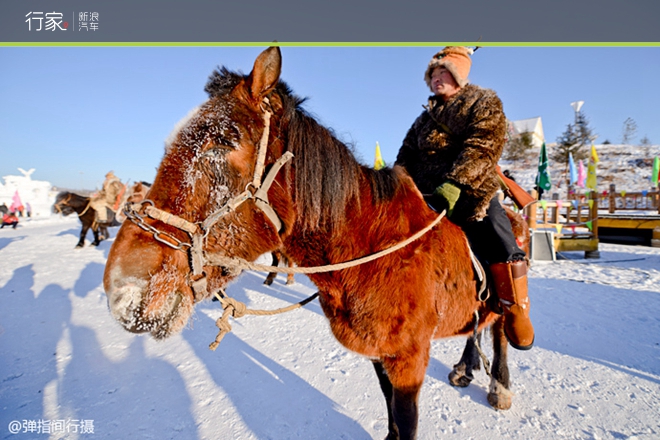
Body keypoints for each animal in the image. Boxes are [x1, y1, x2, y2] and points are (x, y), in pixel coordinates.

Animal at [103, 46, 532, 438]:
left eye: (223, 141)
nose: (122, 289)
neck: (372, 250)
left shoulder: (408, 359)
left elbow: (405, 420)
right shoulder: (380, 353)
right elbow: (391, 415)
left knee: (500, 329)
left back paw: (500, 384)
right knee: (477, 325)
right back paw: (464, 367)